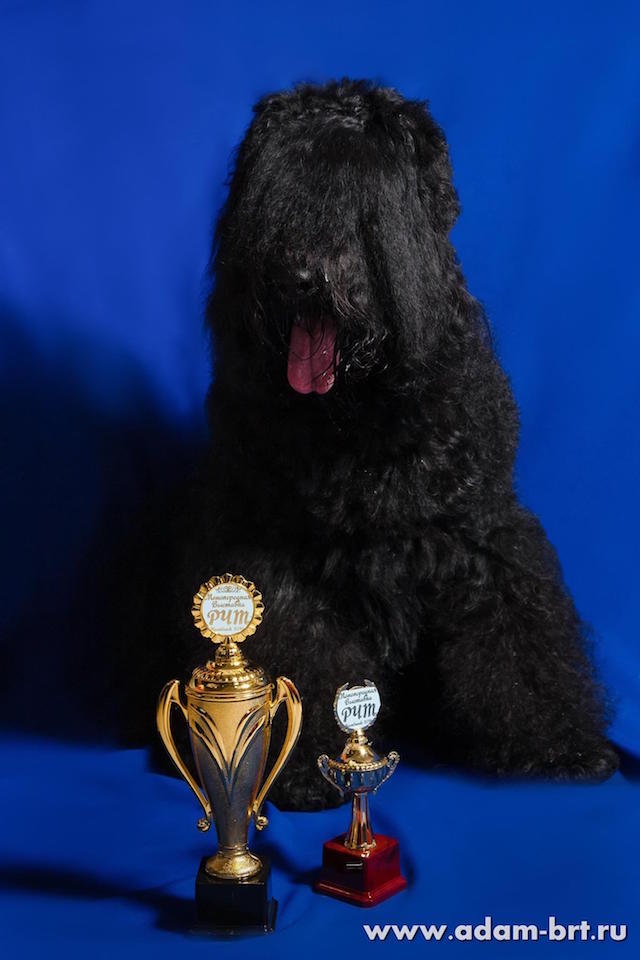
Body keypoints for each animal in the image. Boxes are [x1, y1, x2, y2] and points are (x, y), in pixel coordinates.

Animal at [177, 78, 618, 810]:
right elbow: (307, 649)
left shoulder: (485, 531)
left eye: (369, 202)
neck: (362, 409)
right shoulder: (281, 557)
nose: (301, 275)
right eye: (271, 189)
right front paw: (303, 769)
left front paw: (558, 744)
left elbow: (520, 638)